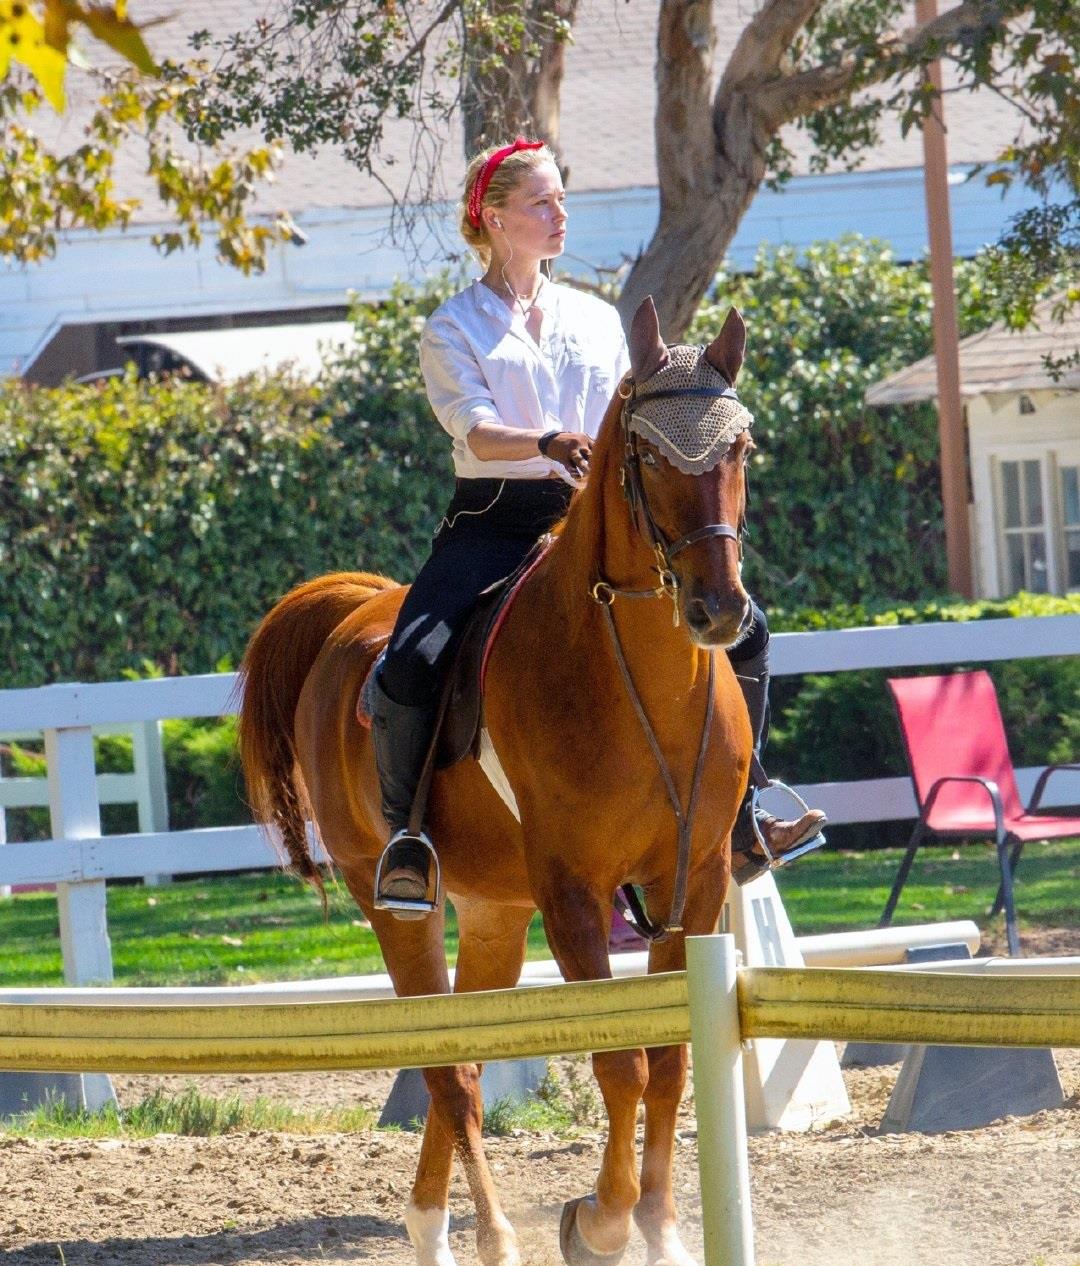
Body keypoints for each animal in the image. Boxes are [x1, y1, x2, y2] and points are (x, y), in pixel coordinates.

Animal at [235, 298, 749, 1266]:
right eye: (650, 456)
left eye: (740, 447)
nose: (719, 609)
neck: (631, 680)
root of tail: (352, 612)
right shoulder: (574, 893)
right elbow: (620, 1062)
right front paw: (600, 1222)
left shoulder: (693, 883)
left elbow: (670, 1064)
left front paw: (662, 1227)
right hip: (396, 903)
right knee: (447, 1065)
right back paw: (488, 1235)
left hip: (495, 913)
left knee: (468, 1054)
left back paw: (437, 1224)